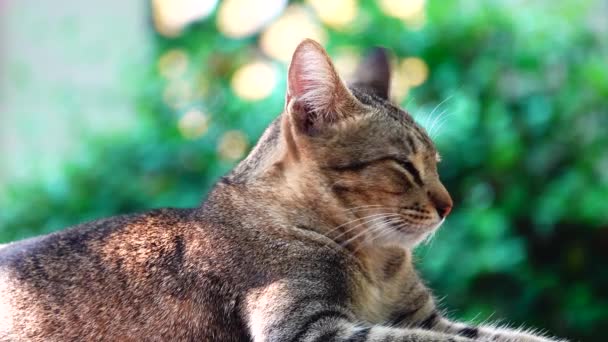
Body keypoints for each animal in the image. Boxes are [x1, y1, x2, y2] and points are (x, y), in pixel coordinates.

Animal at [0, 38, 564, 340]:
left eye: (437, 164)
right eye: (404, 165)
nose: (449, 205)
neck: (376, 262)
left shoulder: (424, 318)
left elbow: (503, 335)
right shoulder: (308, 327)